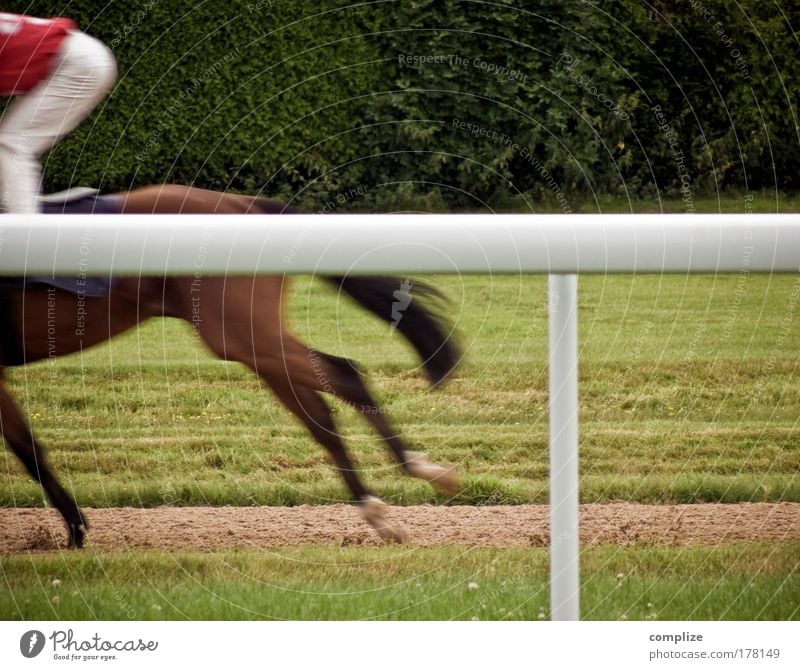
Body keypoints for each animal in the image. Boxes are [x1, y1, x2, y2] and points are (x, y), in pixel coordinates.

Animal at [0, 181, 460, 548]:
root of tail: (244, 203)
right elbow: (26, 446)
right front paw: (74, 529)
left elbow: (27, 449)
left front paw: (75, 532)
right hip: (251, 338)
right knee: (319, 416)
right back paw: (377, 510)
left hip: (240, 332)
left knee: (344, 374)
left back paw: (418, 470)